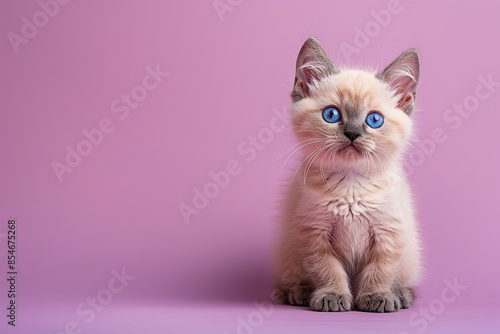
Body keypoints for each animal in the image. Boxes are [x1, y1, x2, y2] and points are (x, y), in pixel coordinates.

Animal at [274, 37, 422, 314]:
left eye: (374, 120)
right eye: (331, 115)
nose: (353, 134)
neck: (351, 184)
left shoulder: (388, 233)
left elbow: (380, 270)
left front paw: (377, 296)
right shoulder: (314, 234)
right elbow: (326, 269)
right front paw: (331, 296)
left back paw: (400, 294)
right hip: (288, 254)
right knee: (290, 282)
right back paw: (299, 293)